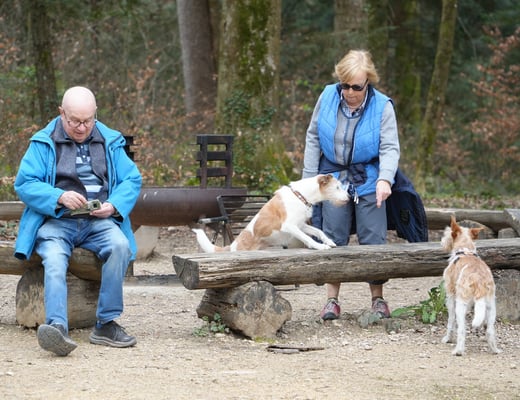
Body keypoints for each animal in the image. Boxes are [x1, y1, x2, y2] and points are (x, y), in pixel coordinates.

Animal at [192, 174, 349, 253]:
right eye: (337, 187)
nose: (349, 198)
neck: (300, 195)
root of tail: (232, 246)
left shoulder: (301, 225)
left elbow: (318, 231)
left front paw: (329, 241)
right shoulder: (289, 226)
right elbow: (307, 238)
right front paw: (320, 246)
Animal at [440, 216, 501, 356]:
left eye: (448, 232)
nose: (441, 242)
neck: (465, 250)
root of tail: (479, 280)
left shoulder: (450, 297)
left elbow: (451, 321)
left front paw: (447, 339)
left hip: (460, 304)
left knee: (462, 330)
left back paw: (458, 350)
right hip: (491, 307)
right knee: (490, 331)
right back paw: (494, 349)